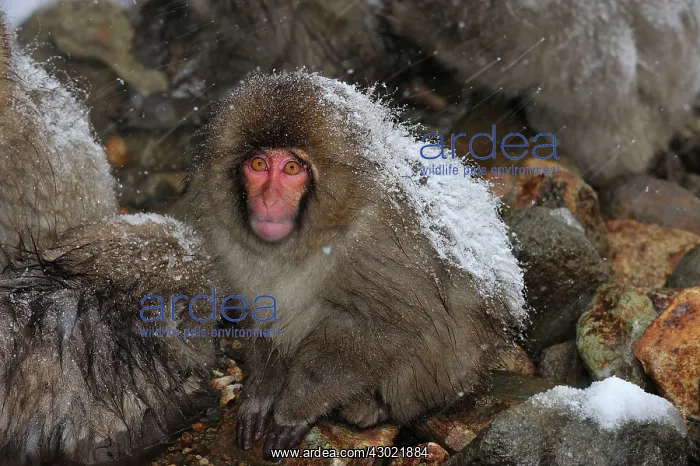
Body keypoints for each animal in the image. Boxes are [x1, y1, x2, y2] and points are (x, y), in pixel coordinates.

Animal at [188, 70, 526, 458]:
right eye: (258, 165)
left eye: (292, 168)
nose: (269, 200)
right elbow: (261, 314)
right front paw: (261, 394)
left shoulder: (377, 242)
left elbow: (382, 327)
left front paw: (294, 409)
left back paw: (372, 407)